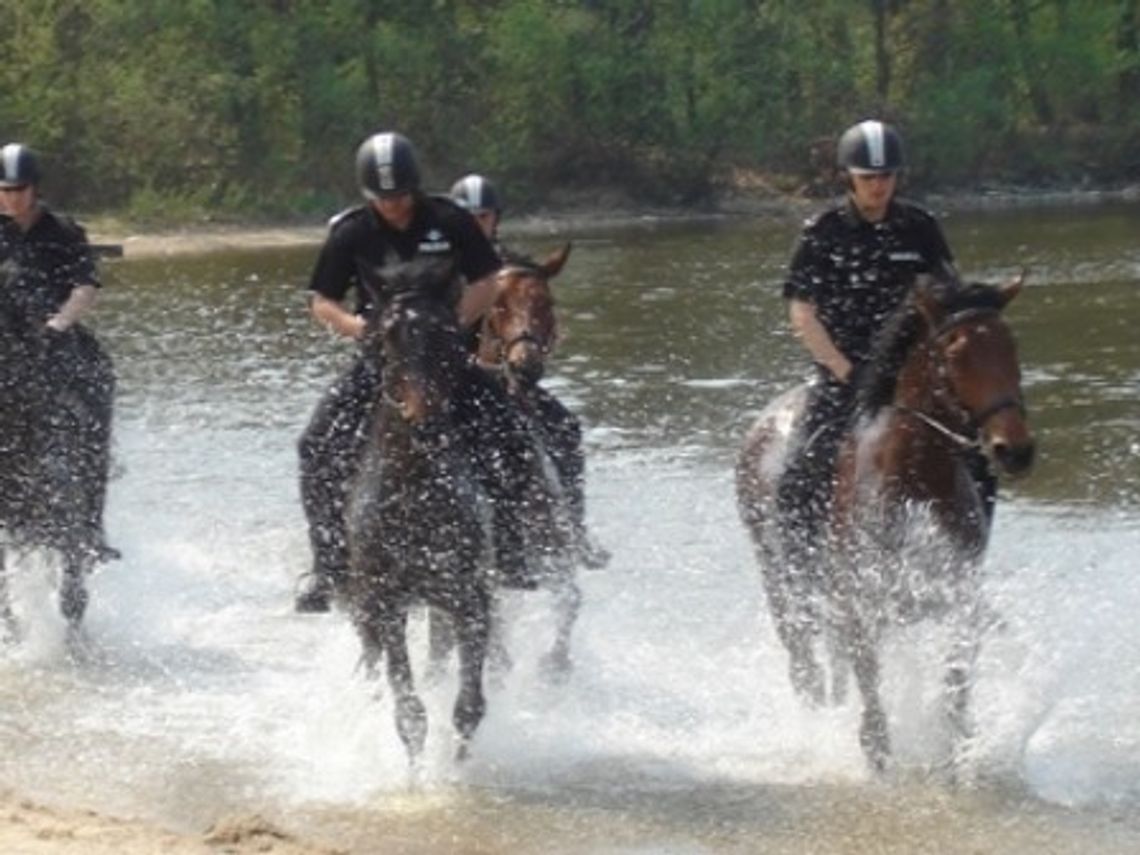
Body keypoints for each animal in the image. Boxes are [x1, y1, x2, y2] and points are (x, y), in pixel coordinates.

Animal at [344, 259, 492, 761]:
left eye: (448, 332)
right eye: (387, 336)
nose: (423, 419)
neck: (415, 494)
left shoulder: (469, 598)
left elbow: (469, 707)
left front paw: (459, 767)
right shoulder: (388, 603)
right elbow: (409, 711)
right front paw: (417, 774)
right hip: (368, 606)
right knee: (373, 662)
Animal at [734, 274, 1039, 775]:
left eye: (1011, 345)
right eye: (953, 351)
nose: (1014, 449)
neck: (914, 475)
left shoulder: (956, 597)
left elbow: (955, 684)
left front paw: (957, 750)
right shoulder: (862, 604)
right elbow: (874, 707)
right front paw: (877, 760)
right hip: (780, 578)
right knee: (804, 662)